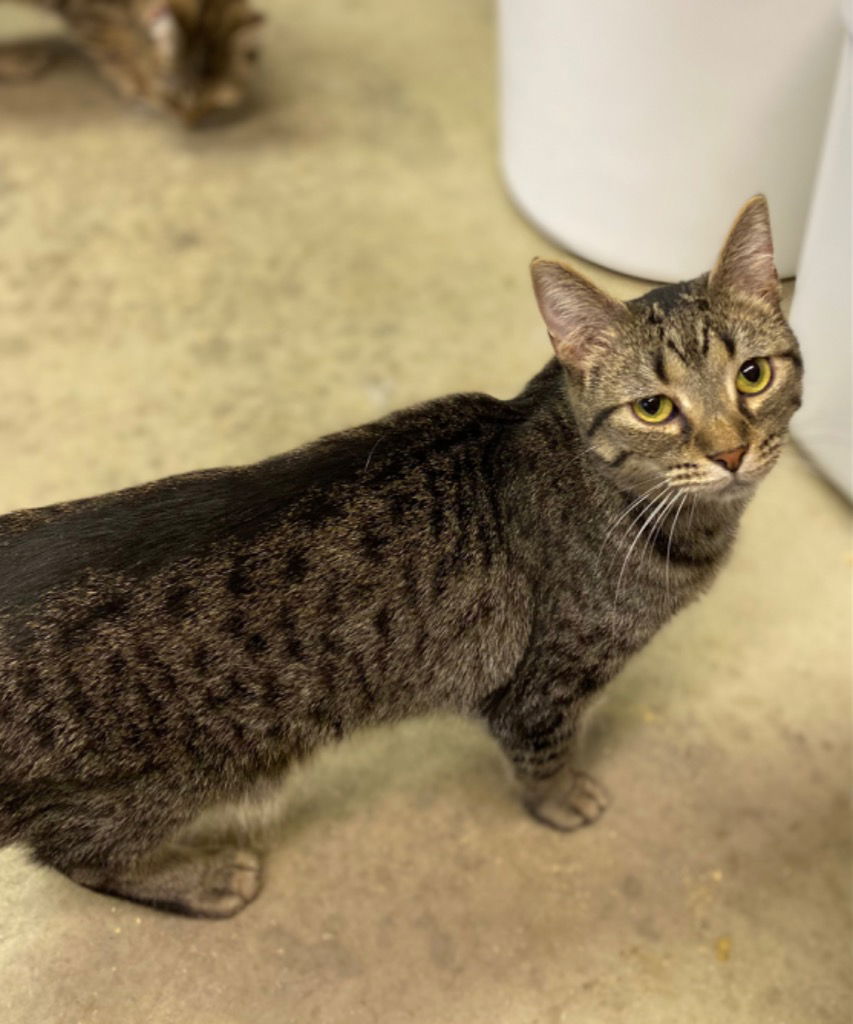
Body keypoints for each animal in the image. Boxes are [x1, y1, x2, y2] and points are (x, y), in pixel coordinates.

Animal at [0, 193, 798, 921]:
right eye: (654, 408)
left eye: (753, 376)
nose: (730, 452)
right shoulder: (537, 688)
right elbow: (543, 754)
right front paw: (563, 796)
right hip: (164, 783)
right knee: (72, 856)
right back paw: (200, 878)